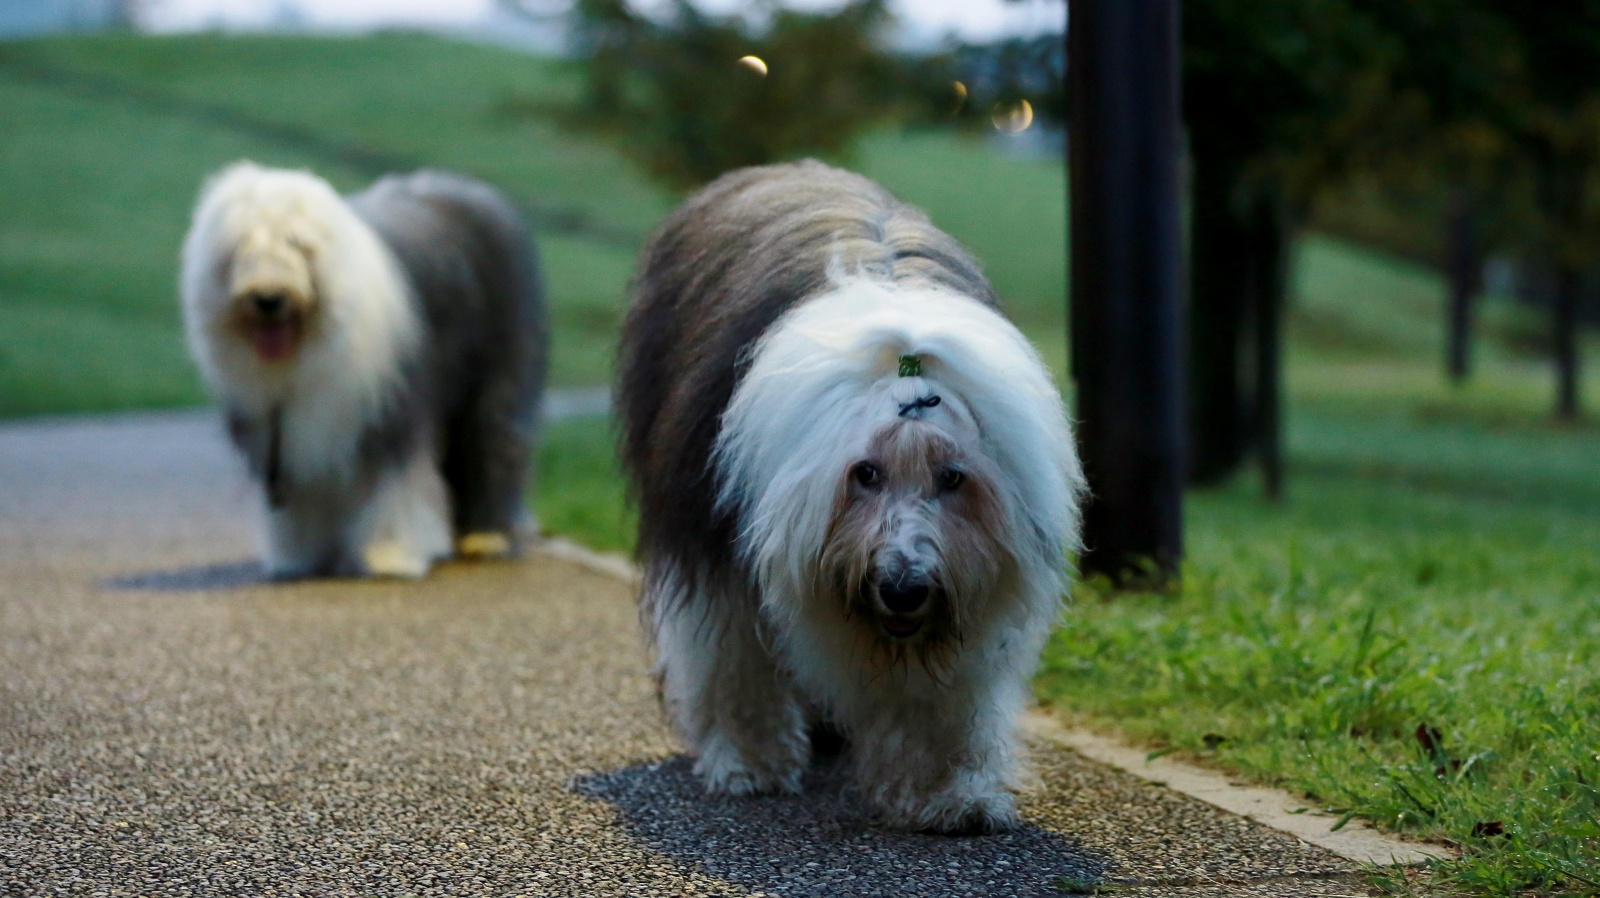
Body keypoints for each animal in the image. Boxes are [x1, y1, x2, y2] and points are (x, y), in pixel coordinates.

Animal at [180, 162, 548, 578]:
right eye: (242, 247)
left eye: (296, 245)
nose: (268, 298)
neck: (309, 349)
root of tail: (466, 187)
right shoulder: (286, 437)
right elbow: (304, 497)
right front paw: (301, 555)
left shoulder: (389, 412)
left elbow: (392, 489)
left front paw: (389, 555)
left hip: (497, 376)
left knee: (492, 445)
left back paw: (486, 538)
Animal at [618, 160, 1084, 833]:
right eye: (865, 473)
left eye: (952, 478)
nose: (903, 587)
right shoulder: (713, 530)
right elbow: (734, 652)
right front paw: (750, 762)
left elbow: (937, 692)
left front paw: (947, 792)